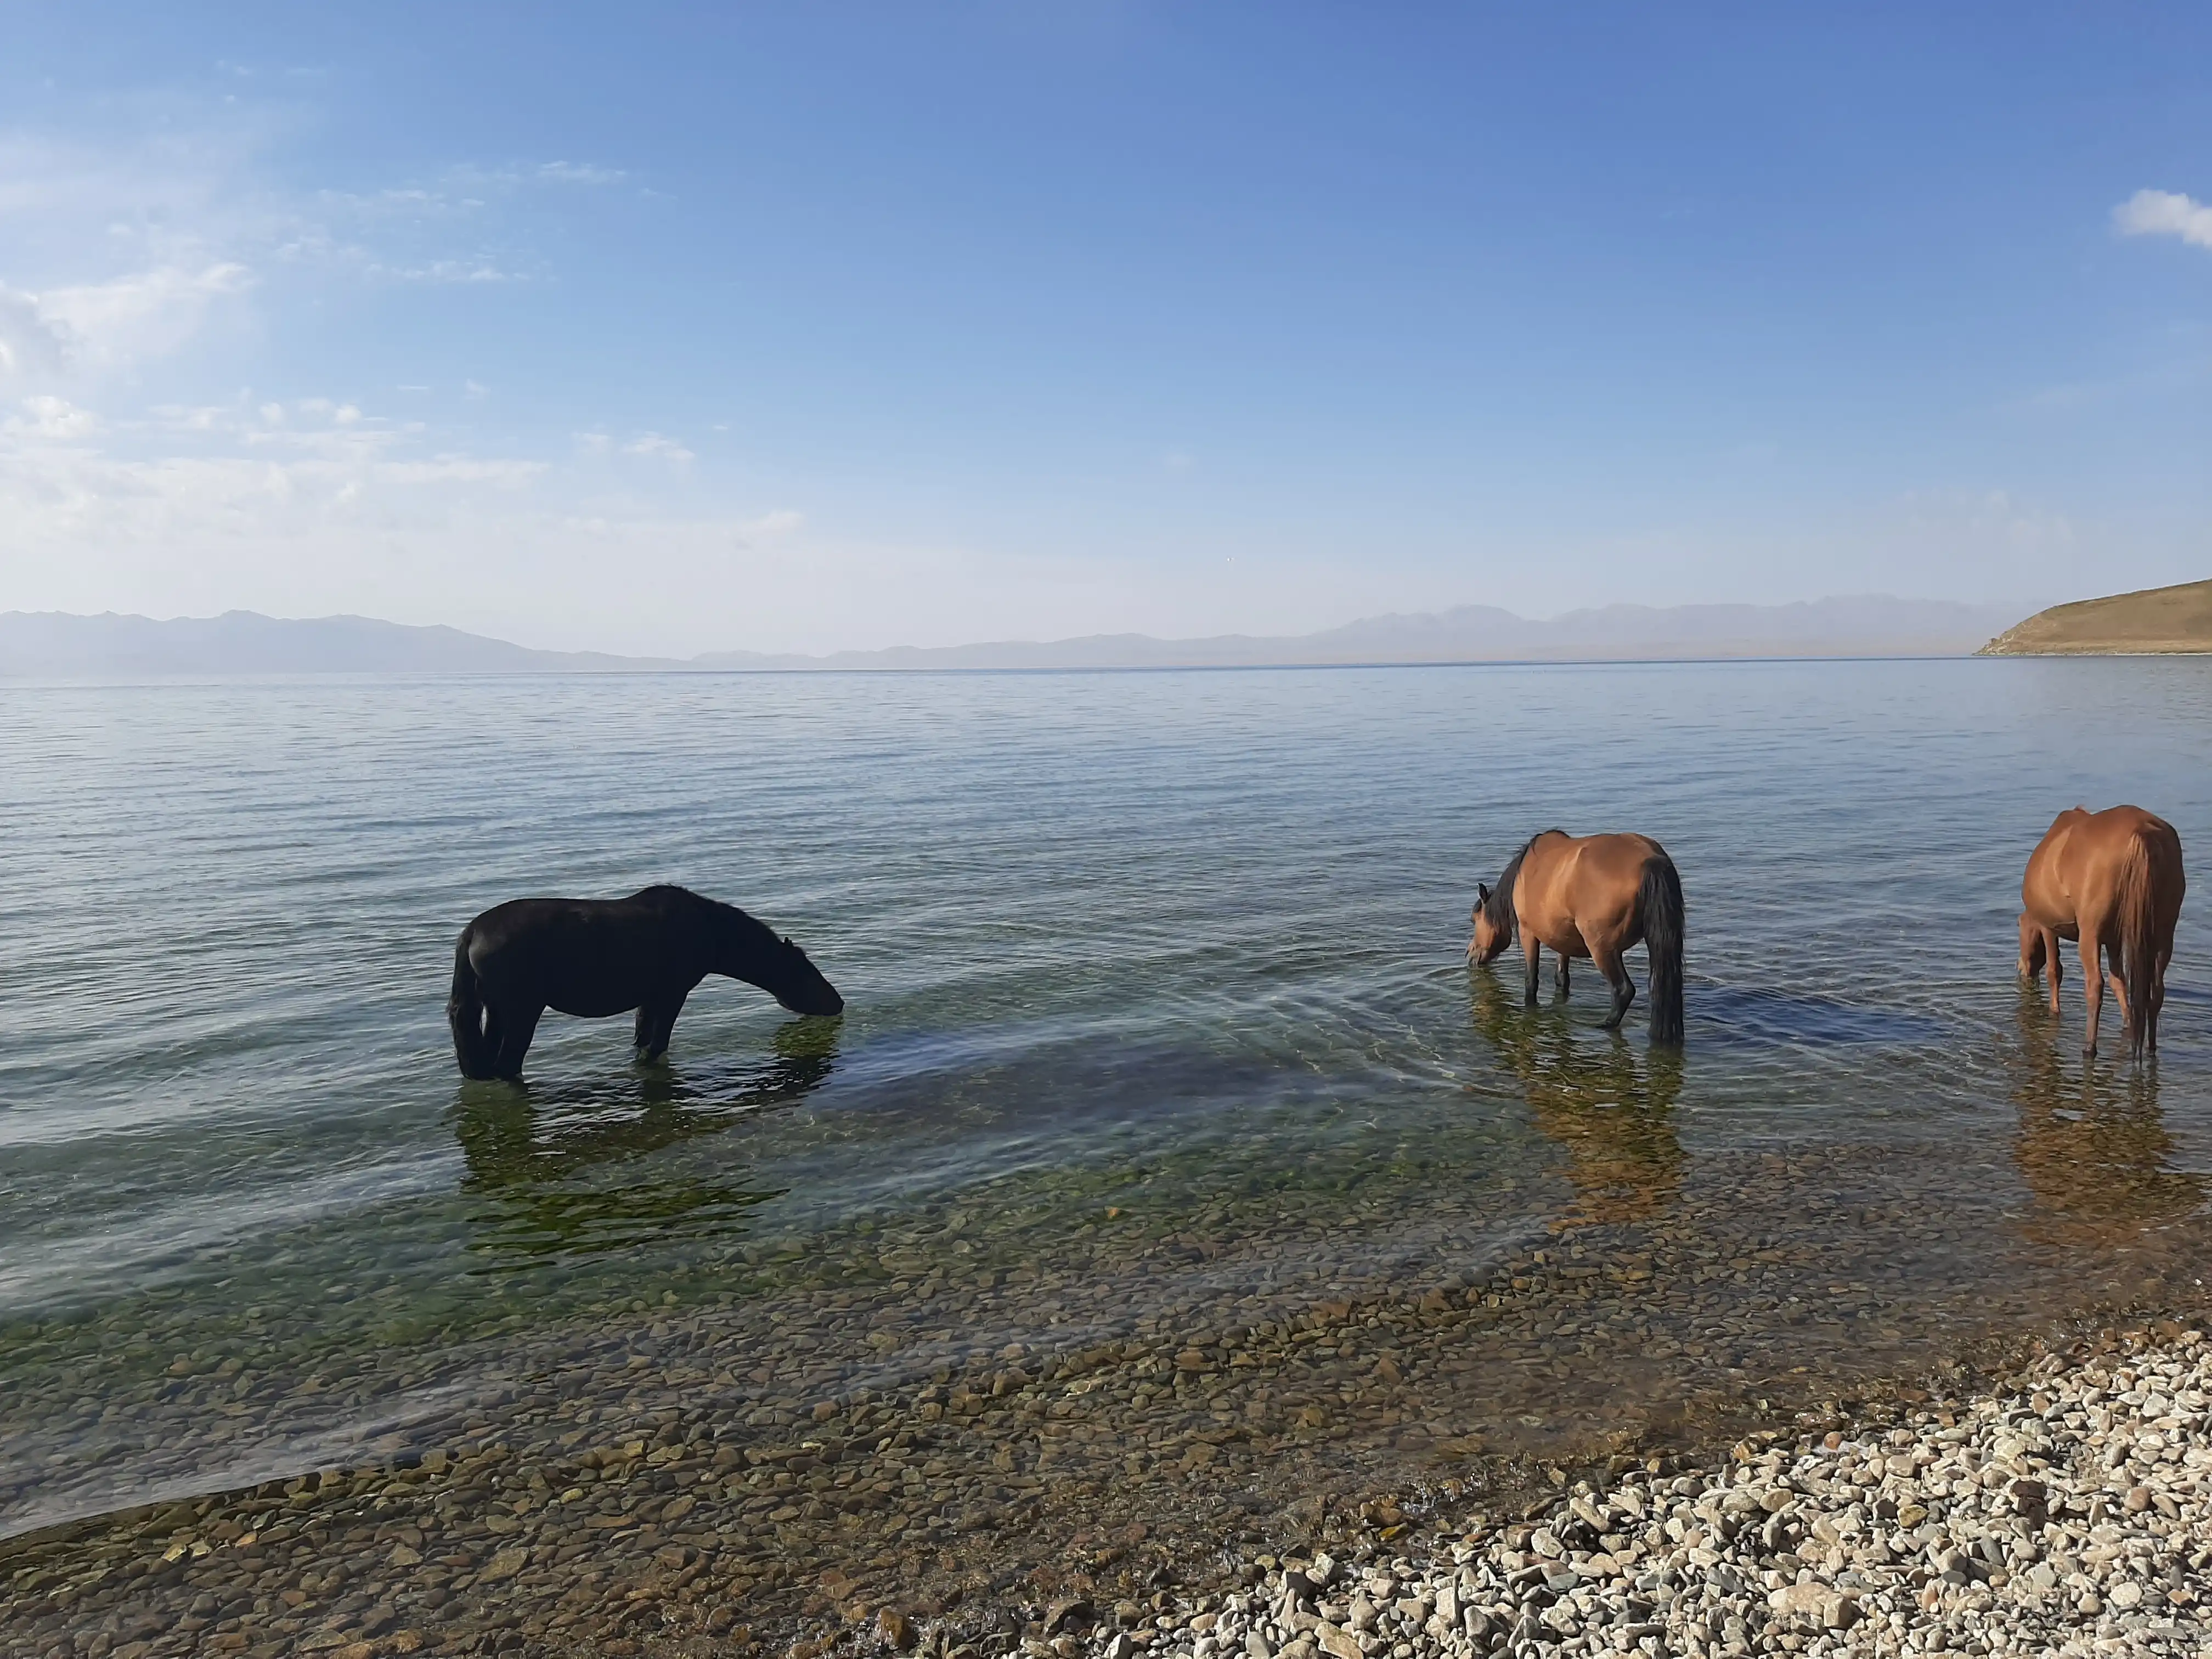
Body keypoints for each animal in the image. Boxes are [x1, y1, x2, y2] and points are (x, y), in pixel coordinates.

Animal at [448, 885, 844, 1081]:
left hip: (496, 1011)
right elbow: (657, 1043)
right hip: (522, 1011)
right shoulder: (672, 993)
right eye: (807, 971)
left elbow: (642, 1040)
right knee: (508, 1065)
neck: (712, 931)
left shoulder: (649, 997)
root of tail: (472, 933)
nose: (838, 1002)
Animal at [1468, 829, 1685, 1045]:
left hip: (1602, 949)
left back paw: (1605, 1025)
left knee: (1624, 990)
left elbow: (1531, 981)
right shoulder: (1562, 940)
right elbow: (1562, 978)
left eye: (1474, 919)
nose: (1469, 954)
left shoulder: (1527, 932)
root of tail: (1651, 859)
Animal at [2017, 805, 2184, 1062]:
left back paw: (2089, 1047)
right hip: (2164, 937)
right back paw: (2151, 1048)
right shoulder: (2114, 940)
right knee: (2156, 991)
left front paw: (2054, 1013)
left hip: (2090, 936)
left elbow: (2054, 973)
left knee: (2095, 985)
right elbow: (2119, 982)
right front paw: (2128, 1023)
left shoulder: (2049, 928)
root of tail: (2142, 831)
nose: (2021, 969)